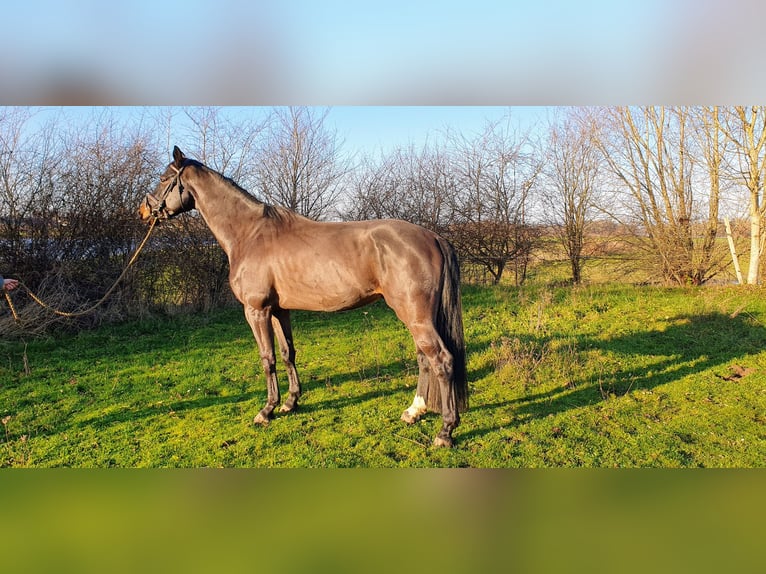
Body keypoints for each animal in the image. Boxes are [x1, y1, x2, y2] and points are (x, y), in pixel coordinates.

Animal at [140, 147, 467, 447]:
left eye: (164, 178)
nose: (143, 210)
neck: (250, 234)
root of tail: (433, 237)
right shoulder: (278, 310)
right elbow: (288, 353)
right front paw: (290, 402)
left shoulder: (256, 310)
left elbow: (268, 358)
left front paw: (267, 411)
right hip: (414, 316)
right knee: (424, 359)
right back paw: (414, 411)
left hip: (415, 315)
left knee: (442, 360)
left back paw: (445, 431)